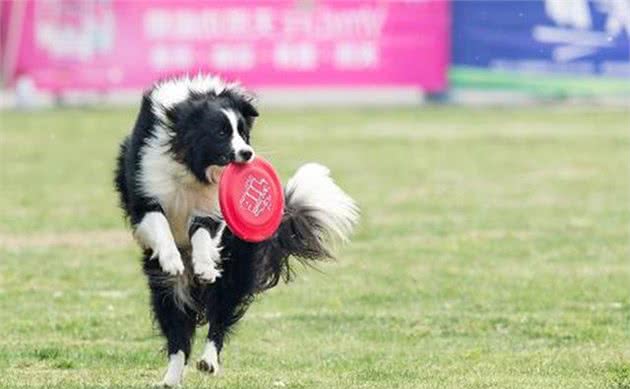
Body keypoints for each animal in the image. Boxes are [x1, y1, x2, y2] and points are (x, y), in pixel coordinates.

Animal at [115, 74, 358, 386]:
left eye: (242, 132)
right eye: (220, 133)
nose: (248, 153)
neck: (190, 166)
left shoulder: (211, 210)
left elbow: (203, 234)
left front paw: (205, 265)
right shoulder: (144, 192)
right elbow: (159, 225)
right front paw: (171, 260)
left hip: (236, 269)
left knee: (220, 316)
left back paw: (208, 361)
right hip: (166, 290)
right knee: (177, 334)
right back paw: (171, 377)